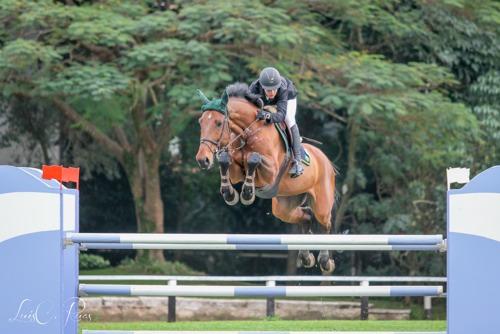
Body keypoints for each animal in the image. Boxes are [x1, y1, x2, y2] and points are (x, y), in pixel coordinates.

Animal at [195, 83, 336, 272]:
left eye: (218, 123)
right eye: (201, 122)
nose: (202, 160)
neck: (248, 132)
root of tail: (326, 160)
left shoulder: (271, 172)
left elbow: (253, 158)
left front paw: (247, 193)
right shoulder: (236, 171)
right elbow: (226, 160)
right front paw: (230, 194)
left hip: (322, 204)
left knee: (325, 224)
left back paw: (325, 261)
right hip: (284, 207)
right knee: (305, 216)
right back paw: (306, 257)